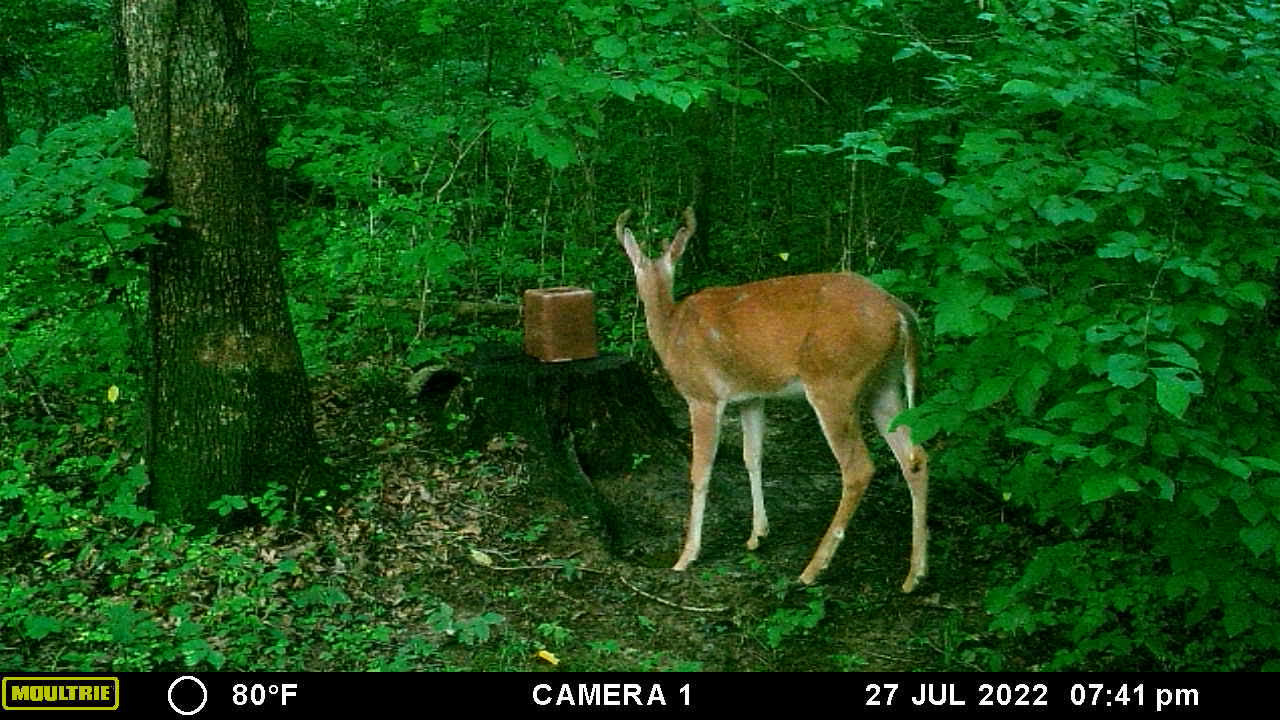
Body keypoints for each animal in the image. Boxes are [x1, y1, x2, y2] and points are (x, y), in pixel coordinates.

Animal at [614, 206, 926, 589]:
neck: (672, 328)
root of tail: (900, 311)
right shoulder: (751, 397)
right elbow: (752, 456)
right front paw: (757, 535)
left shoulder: (703, 396)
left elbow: (701, 470)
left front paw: (687, 555)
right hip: (884, 384)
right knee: (915, 458)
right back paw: (915, 575)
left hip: (835, 381)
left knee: (859, 468)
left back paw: (813, 569)